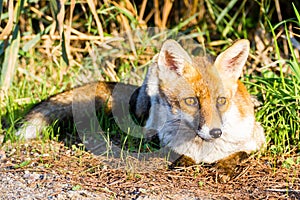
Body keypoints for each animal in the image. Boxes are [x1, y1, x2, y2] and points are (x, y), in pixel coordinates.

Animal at [14, 39, 264, 166]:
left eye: (222, 101)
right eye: (191, 101)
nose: (215, 132)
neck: (204, 149)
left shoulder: (257, 139)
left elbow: (238, 154)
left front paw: (226, 166)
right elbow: (178, 152)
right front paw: (184, 160)